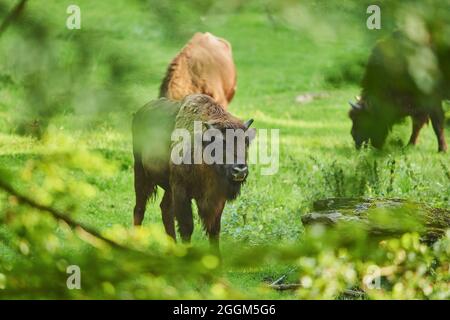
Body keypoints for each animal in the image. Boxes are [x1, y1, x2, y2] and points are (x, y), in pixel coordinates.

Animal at [132, 94, 255, 249]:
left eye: (246, 142)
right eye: (219, 143)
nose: (240, 170)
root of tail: (139, 112)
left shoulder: (216, 198)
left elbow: (214, 230)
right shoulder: (181, 192)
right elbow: (187, 228)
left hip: (168, 187)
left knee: (165, 209)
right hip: (141, 173)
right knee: (139, 209)